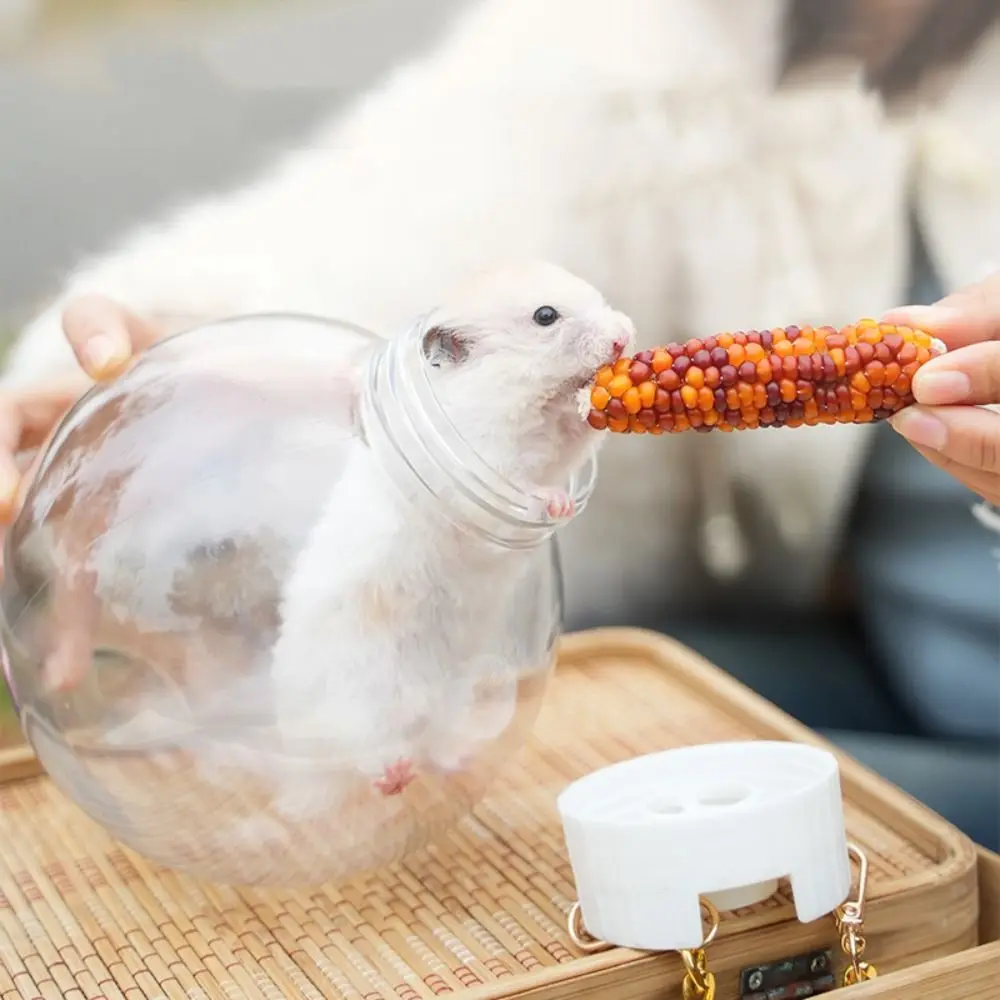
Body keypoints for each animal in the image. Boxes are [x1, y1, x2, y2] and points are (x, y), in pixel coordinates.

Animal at [268, 259, 635, 797]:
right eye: (545, 316)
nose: (625, 337)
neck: (528, 393)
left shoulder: (560, 445)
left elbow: (576, 431)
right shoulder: (490, 459)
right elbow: (520, 485)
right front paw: (556, 503)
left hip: (456, 693)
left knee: (433, 744)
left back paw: (450, 762)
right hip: (357, 697)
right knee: (365, 753)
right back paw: (394, 776)